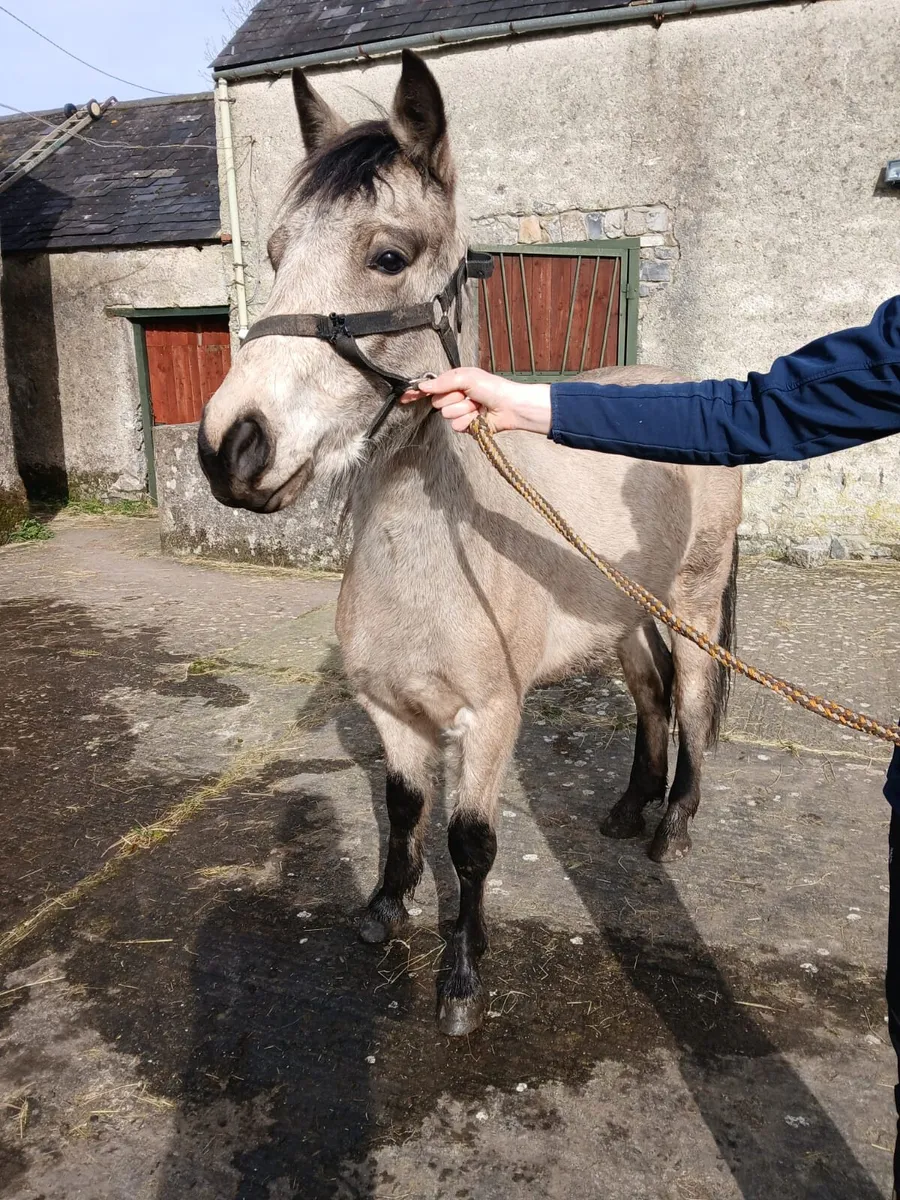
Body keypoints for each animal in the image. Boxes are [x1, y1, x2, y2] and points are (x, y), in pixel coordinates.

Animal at [197, 50, 743, 1037]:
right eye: (277, 254)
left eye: (388, 256)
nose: (232, 445)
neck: (432, 567)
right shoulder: (392, 713)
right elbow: (403, 807)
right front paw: (385, 908)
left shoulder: (489, 720)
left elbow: (471, 841)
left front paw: (461, 974)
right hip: (622, 617)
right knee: (650, 699)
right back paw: (627, 808)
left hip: (689, 603)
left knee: (689, 698)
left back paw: (674, 826)